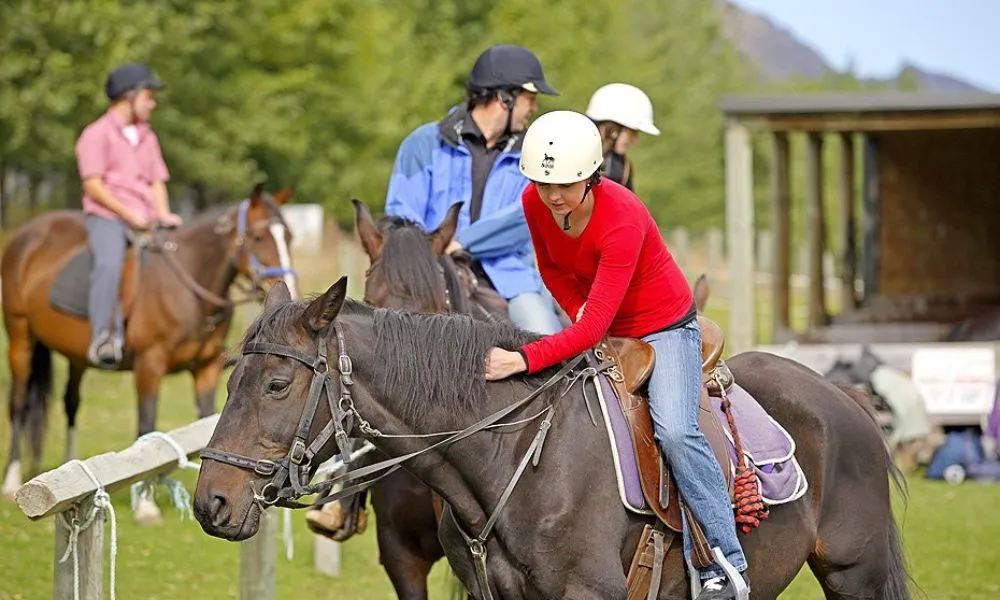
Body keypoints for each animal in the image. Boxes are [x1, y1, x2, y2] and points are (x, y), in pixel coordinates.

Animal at [1, 184, 298, 520]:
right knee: (19, 404)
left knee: (71, 402)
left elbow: (208, 421)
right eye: (258, 237)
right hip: (20, 337)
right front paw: (145, 506)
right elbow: (146, 427)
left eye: (289, 236)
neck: (190, 288)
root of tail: (28, 234)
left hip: (76, 356)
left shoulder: (206, 368)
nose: (287, 286)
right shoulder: (149, 365)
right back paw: (11, 482)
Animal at [194, 277, 913, 600]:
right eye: (231, 381)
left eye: (277, 385)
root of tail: (843, 400)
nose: (212, 503)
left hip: (855, 575)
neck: (516, 461)